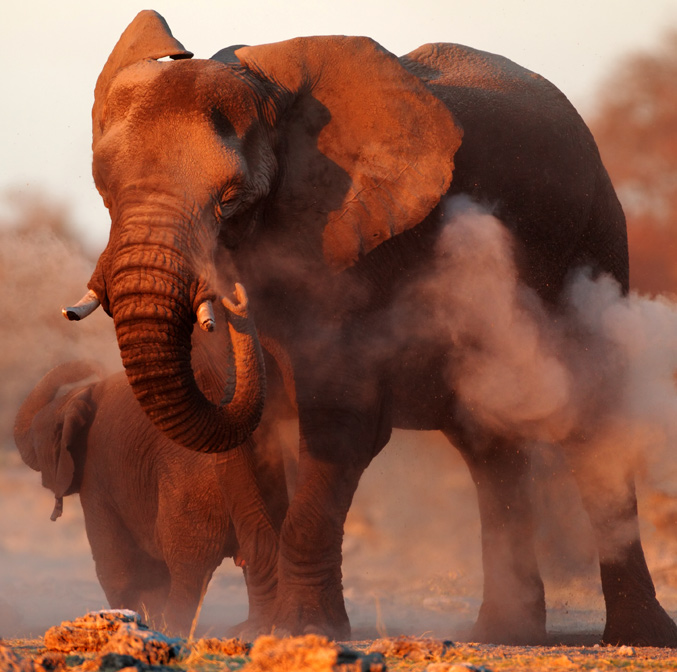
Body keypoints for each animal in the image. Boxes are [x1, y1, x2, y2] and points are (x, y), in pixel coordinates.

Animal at [66, 10, 676, 648]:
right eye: (105, 190)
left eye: (231, 201)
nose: (232, 297)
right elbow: (243, 440)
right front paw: (258, 629)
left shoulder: (357, 248)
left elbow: (342, 425)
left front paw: (306, 630)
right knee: (487, 446)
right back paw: (504, 632)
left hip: (595, 242)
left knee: (592, 425)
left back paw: (638, 636)